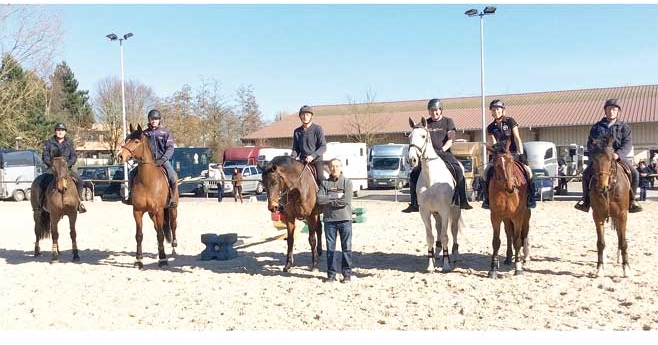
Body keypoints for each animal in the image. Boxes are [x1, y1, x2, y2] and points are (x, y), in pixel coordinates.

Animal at [115, 123, 177, 268]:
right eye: (126, 140)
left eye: (137, 141)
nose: (120, 156)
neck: (147, 181)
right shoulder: (137, 211)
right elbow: (139, 235)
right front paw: (139, 260)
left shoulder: (159, 211)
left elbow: (160, 235)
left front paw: (163, 259)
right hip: (151, 214)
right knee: (158, 229)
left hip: (172, 210)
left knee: (173, 226)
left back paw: (173, 247)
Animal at [404, 117, 462, 272]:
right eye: (409, 137)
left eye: (423, 136)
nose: (412, 160)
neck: (431, 179)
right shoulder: (424, 211)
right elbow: (430, 236)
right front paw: (430, 265)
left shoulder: (445, 210)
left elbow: (446, 235)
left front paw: (446, 265)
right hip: (436, 213)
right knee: (438, 228)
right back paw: (437, 252)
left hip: (455, 209)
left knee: (453, 230)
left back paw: (455, 255)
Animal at [484, 141, 532, 278]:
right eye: (496, 164)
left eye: (511, 161)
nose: (511, 187)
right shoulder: (495, 216)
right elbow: (496, 241)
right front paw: (493, 268)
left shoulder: (517, 217)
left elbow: (517, 241)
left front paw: (518, 267)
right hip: (506, 218)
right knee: (509, 234)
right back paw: (509, 258)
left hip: (526, 216)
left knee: (524, 234)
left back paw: (525, 257)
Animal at [588, 134, 632, 276]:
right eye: (594, 160)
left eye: (610, 158)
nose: (602, 187)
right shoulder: (598, 215)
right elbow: (600, 243)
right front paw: (600, 268)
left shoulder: (622, 215)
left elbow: (623, 241)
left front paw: (626, 268)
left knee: (619, 236)